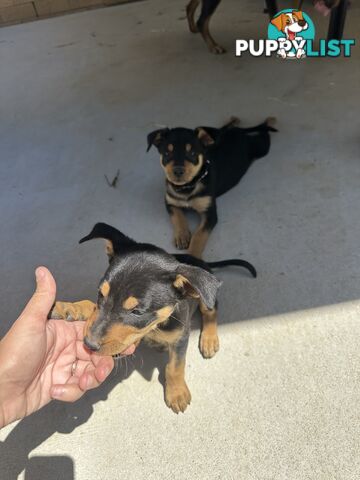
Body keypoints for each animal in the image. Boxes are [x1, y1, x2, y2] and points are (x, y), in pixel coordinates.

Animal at [51, 223, 256, 414]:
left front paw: (177, 393)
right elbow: (91, 306)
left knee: (211, 310)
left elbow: (175, 366)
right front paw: (68, 308)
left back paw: (209, 339)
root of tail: (199, 261)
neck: (155, 326)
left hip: (205, 298)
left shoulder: (181, 337)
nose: (89, 345)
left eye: (137, 312)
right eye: (100, 294)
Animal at [148, 116, 278, 258]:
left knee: (264, 132)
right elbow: (177, 217)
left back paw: (269, 120)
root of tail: (240, 132)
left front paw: (193, 257)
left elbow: (199, 236)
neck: (188, 186)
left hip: (260, 147)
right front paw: (182, 236)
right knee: (225, 128)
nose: (177, 171)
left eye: (192, 153)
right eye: (167, 153)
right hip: (218, 134)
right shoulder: (170, 202)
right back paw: (235, 120)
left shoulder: (210, 214)